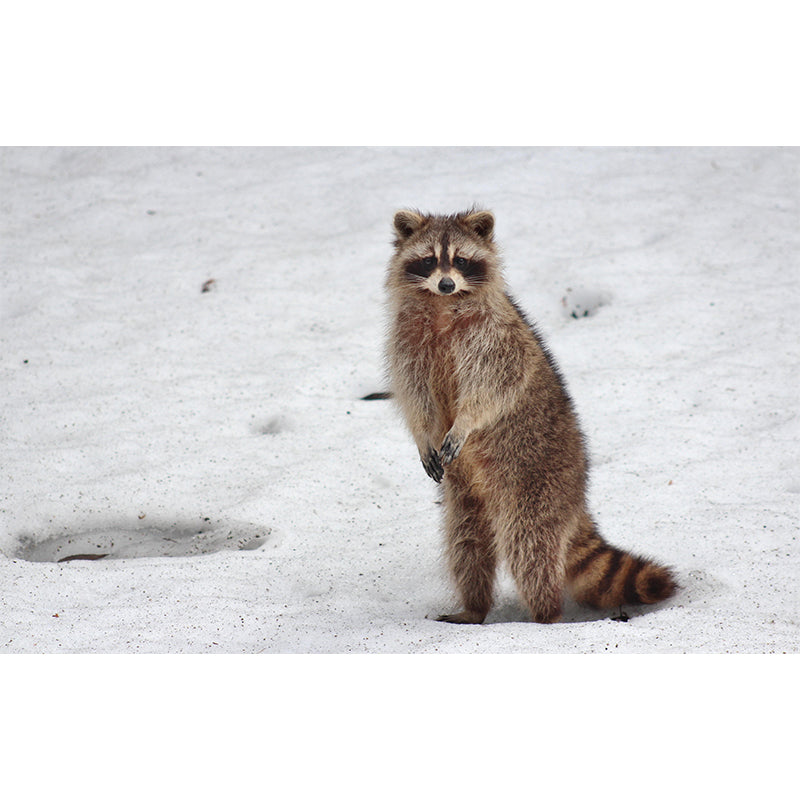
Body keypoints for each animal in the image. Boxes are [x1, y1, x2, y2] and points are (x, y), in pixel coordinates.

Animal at [386, 208, 677, 624]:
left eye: (460, 260)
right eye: (429, 260)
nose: (445, 283)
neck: (443, 306)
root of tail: (577, 496)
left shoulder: (496, 338)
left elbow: (493, 387)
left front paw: (465, 422)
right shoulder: (406, 342)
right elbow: (415, 395)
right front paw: (423, 433)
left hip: (536, 483)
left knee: (530, 545)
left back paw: (545, 614)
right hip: (467, 497)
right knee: (466, 543)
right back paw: (474, 607)